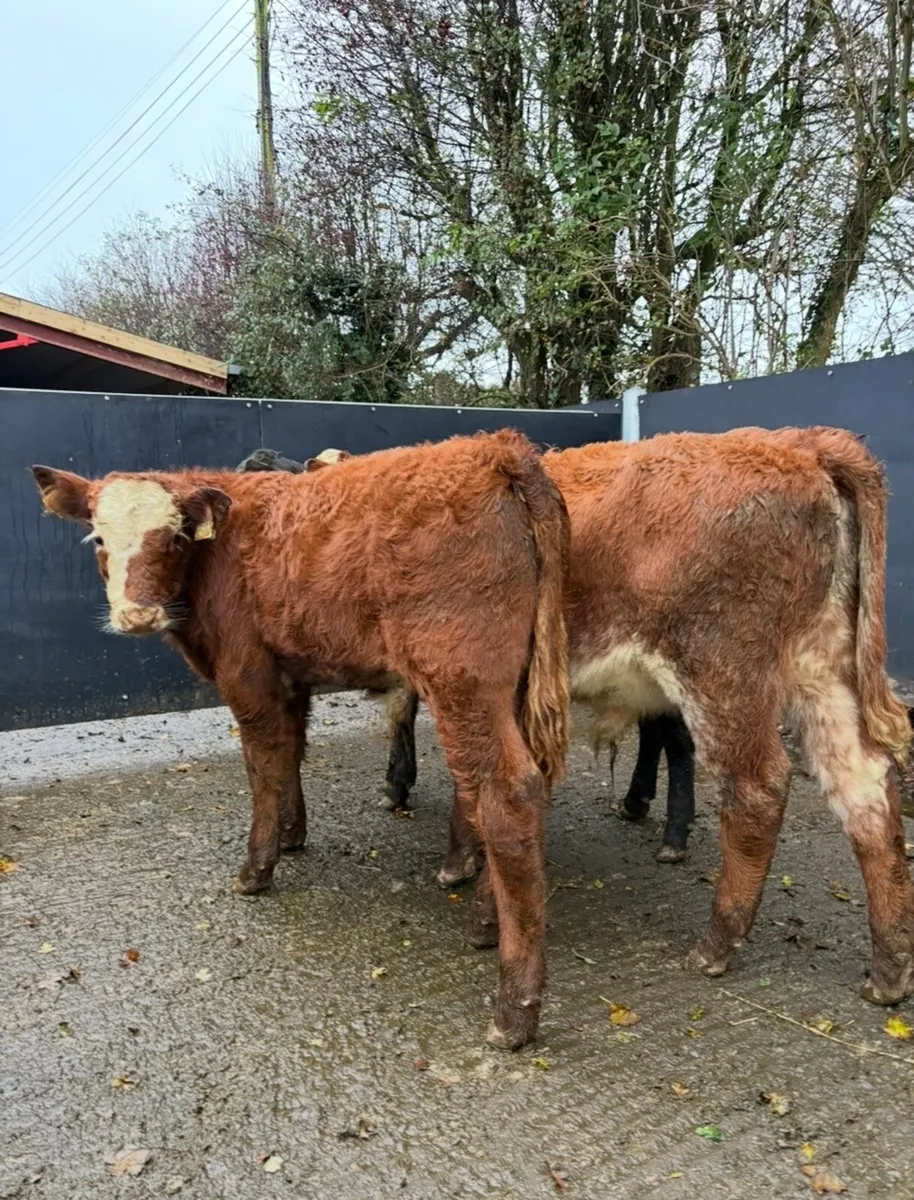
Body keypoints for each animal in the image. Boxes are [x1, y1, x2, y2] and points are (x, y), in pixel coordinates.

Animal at [31, 430, 570, 1050]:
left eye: (175, 537)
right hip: (514, 681)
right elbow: (291, 751)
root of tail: (498, 449)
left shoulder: (245, 673)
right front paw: (292, 834)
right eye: (98, 537)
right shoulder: (290, 673)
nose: (137, 615)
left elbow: (262, 764)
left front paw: (255, 869)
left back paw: (513, 1011)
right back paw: (484, 918)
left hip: (462, 676)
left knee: (509, 794)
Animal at [300, 429, 914, 1007]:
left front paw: (443, 843)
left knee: (758, 790)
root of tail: (802, 444)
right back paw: (889, 969)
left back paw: (716, 944)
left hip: (723, 674)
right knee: (865, 787)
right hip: (823, 674)